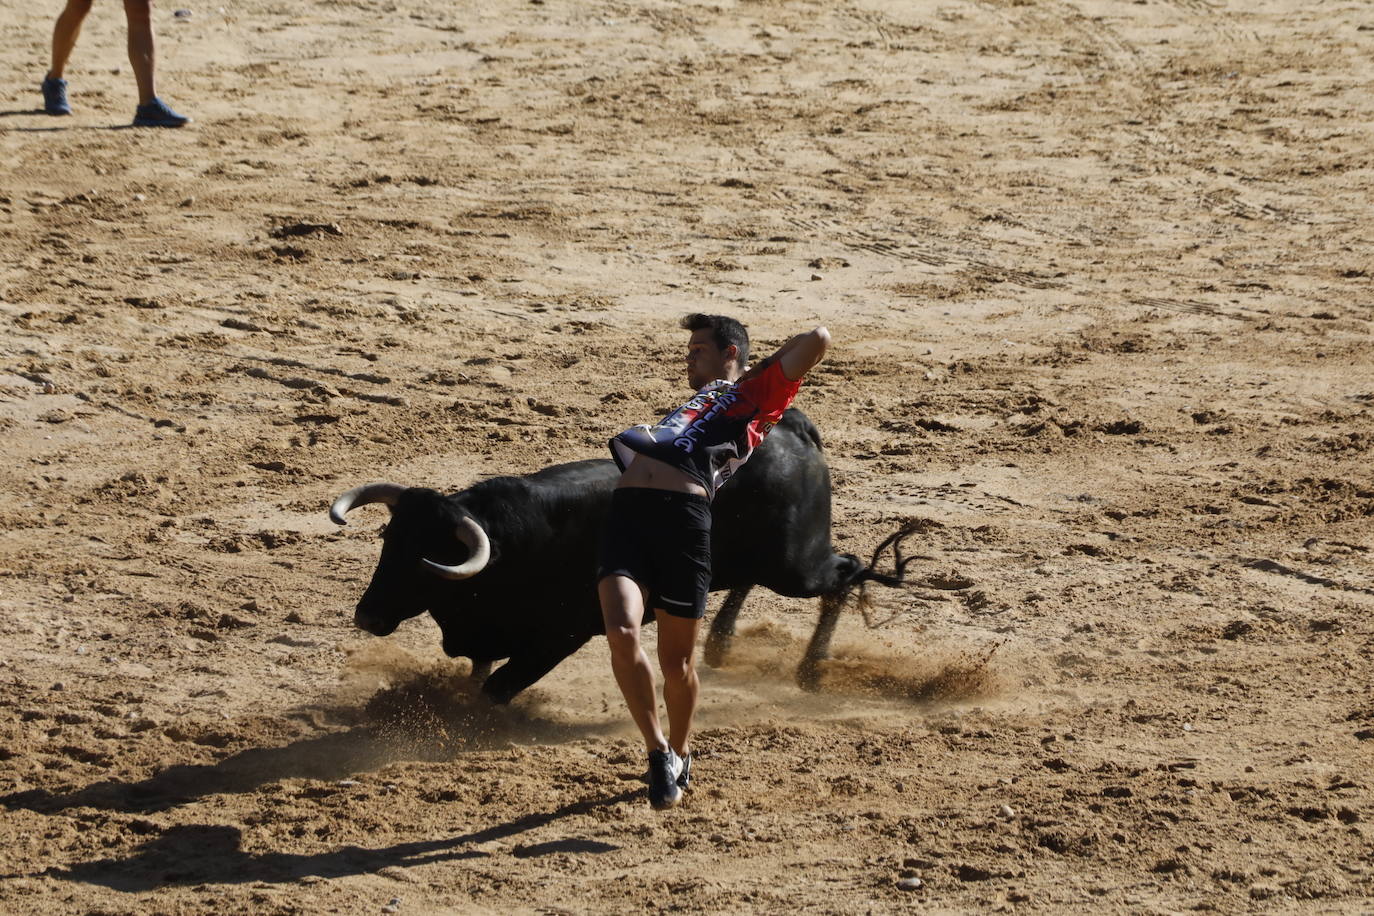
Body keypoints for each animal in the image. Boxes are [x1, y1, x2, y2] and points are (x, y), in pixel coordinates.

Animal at [327, 409, 917, 703]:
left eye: (427, 557)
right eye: (388, 543)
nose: (367, 616)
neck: (511, 546)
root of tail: (792, 429)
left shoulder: (562, 636)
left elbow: (495, 687)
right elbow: (480, 671)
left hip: (796, 566)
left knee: (845, 573)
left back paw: (810, 673)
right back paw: (722, 645)